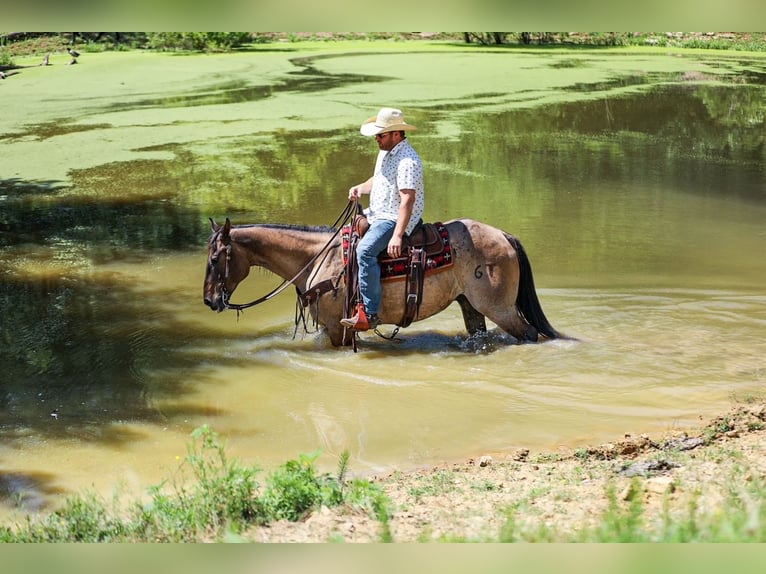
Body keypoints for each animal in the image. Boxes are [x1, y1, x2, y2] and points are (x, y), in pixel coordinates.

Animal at [203, 217, 568, 347]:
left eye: (214, 259)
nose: (209, 300)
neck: (317, 258)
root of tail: (504, 235)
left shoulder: (337, 328)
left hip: (499, 308)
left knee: (529, 334)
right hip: (471, 306)